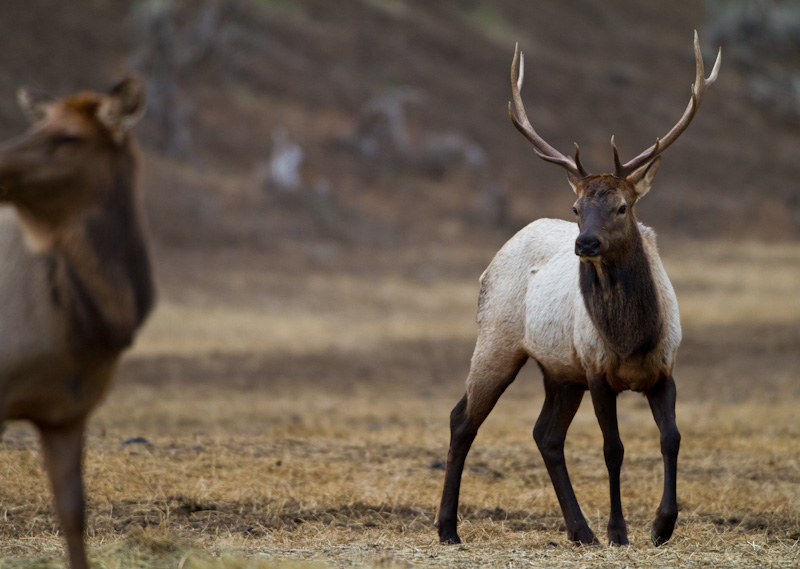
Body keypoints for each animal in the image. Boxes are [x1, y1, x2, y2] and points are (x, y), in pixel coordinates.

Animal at [434, 33, 720, 548]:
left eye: (623, 206)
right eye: (576, 206)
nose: (584, 243)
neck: (633, 339)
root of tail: (494, 259)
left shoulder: (664, 367)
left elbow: (671, 438)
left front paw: (662, 525)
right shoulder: (597, 369)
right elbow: (613, 448)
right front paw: (619, 531)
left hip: (559, 371)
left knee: (545, 435)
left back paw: (579, 529)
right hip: (499, 342)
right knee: (462, 419)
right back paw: (448, 528)